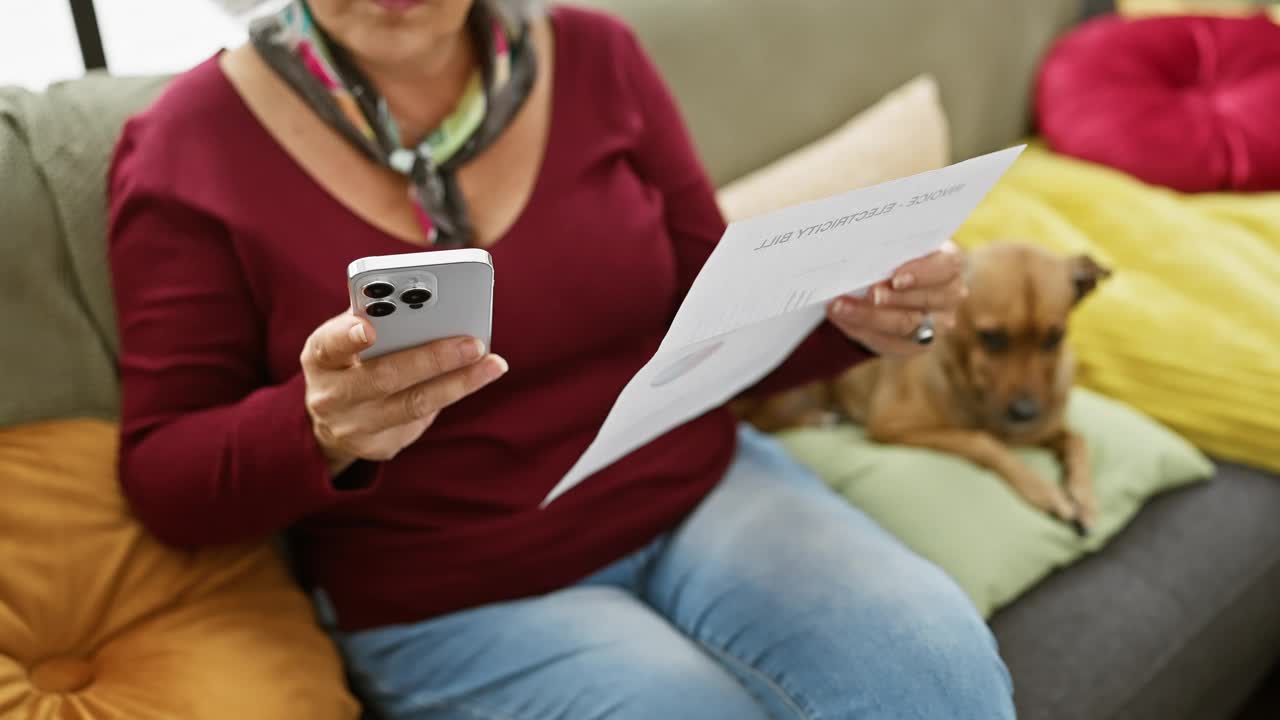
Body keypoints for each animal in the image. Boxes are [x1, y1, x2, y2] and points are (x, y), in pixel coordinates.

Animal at [737, 243, 1116, 530]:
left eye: (1054, 338)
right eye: (992, 338)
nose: (1026, 413)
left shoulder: (1040, 429)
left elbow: (1076, 439)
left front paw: (1084, 496)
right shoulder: (893, 426)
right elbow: (983, 442)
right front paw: (1046, 491)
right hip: (800, 392)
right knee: (759, 421)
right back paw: (818, 418)